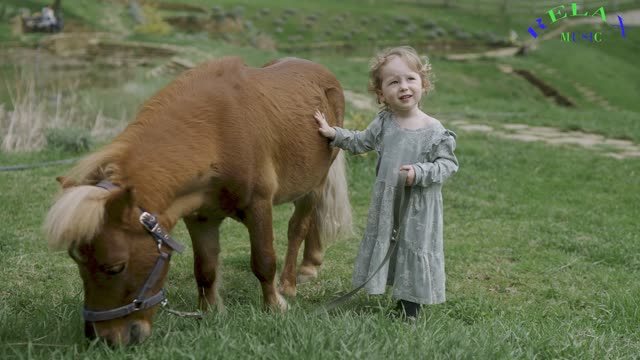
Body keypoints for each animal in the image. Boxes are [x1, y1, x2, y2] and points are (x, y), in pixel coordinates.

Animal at [45, 57, 352, 346]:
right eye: (77, 262)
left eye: (115, 267)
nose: (103, 339)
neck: (218, 132)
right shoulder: (200, 217)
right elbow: (204, 269)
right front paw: (209, 310)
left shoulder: (258, 206)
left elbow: (264, 261)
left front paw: (275, 306)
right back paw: (310, 263)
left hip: (314, 185)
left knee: (299, 227)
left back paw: (291, 281)